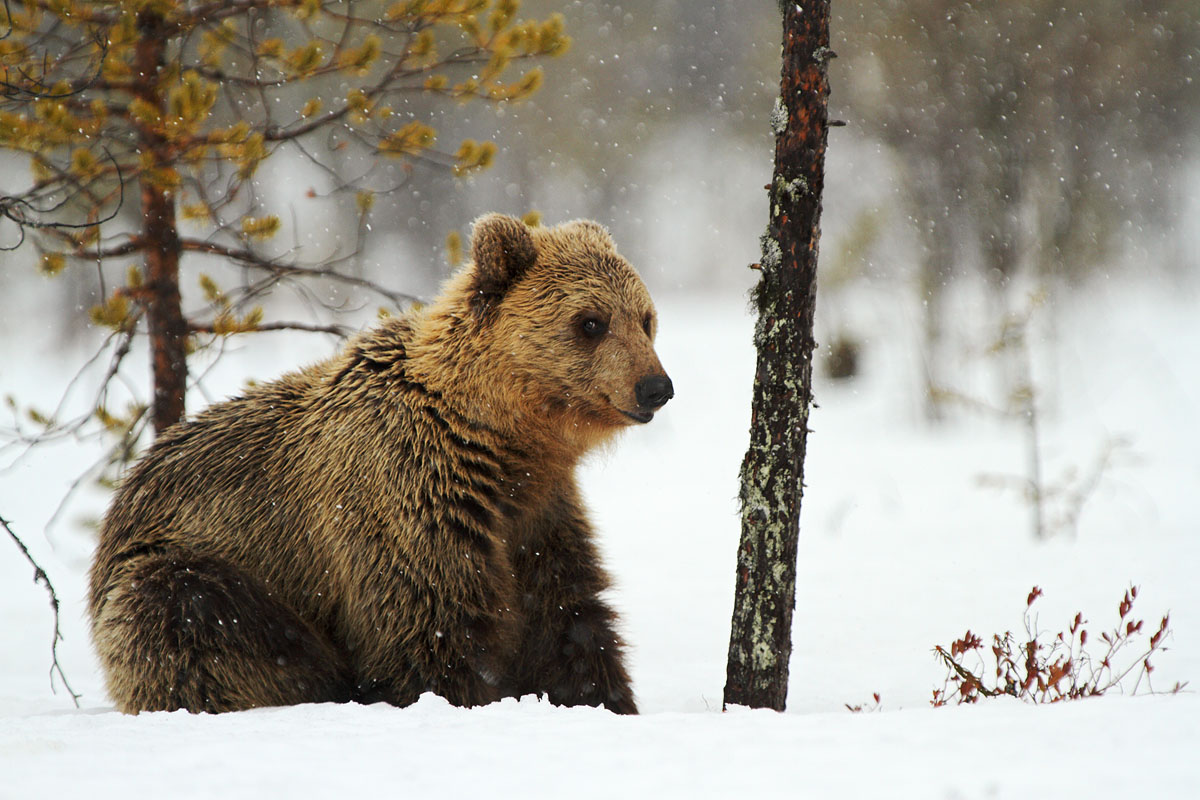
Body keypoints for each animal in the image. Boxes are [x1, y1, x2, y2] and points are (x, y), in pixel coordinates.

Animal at [87, 214, 673, 715]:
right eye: (591, 322)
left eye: (645, 319)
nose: (656, 387)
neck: (498, 438)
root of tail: (120, 499)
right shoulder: (410, 500)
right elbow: (430, 633)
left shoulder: (535, 512)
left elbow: (569, 618)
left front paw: (605, 700)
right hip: (180, 569)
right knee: (193, 615)